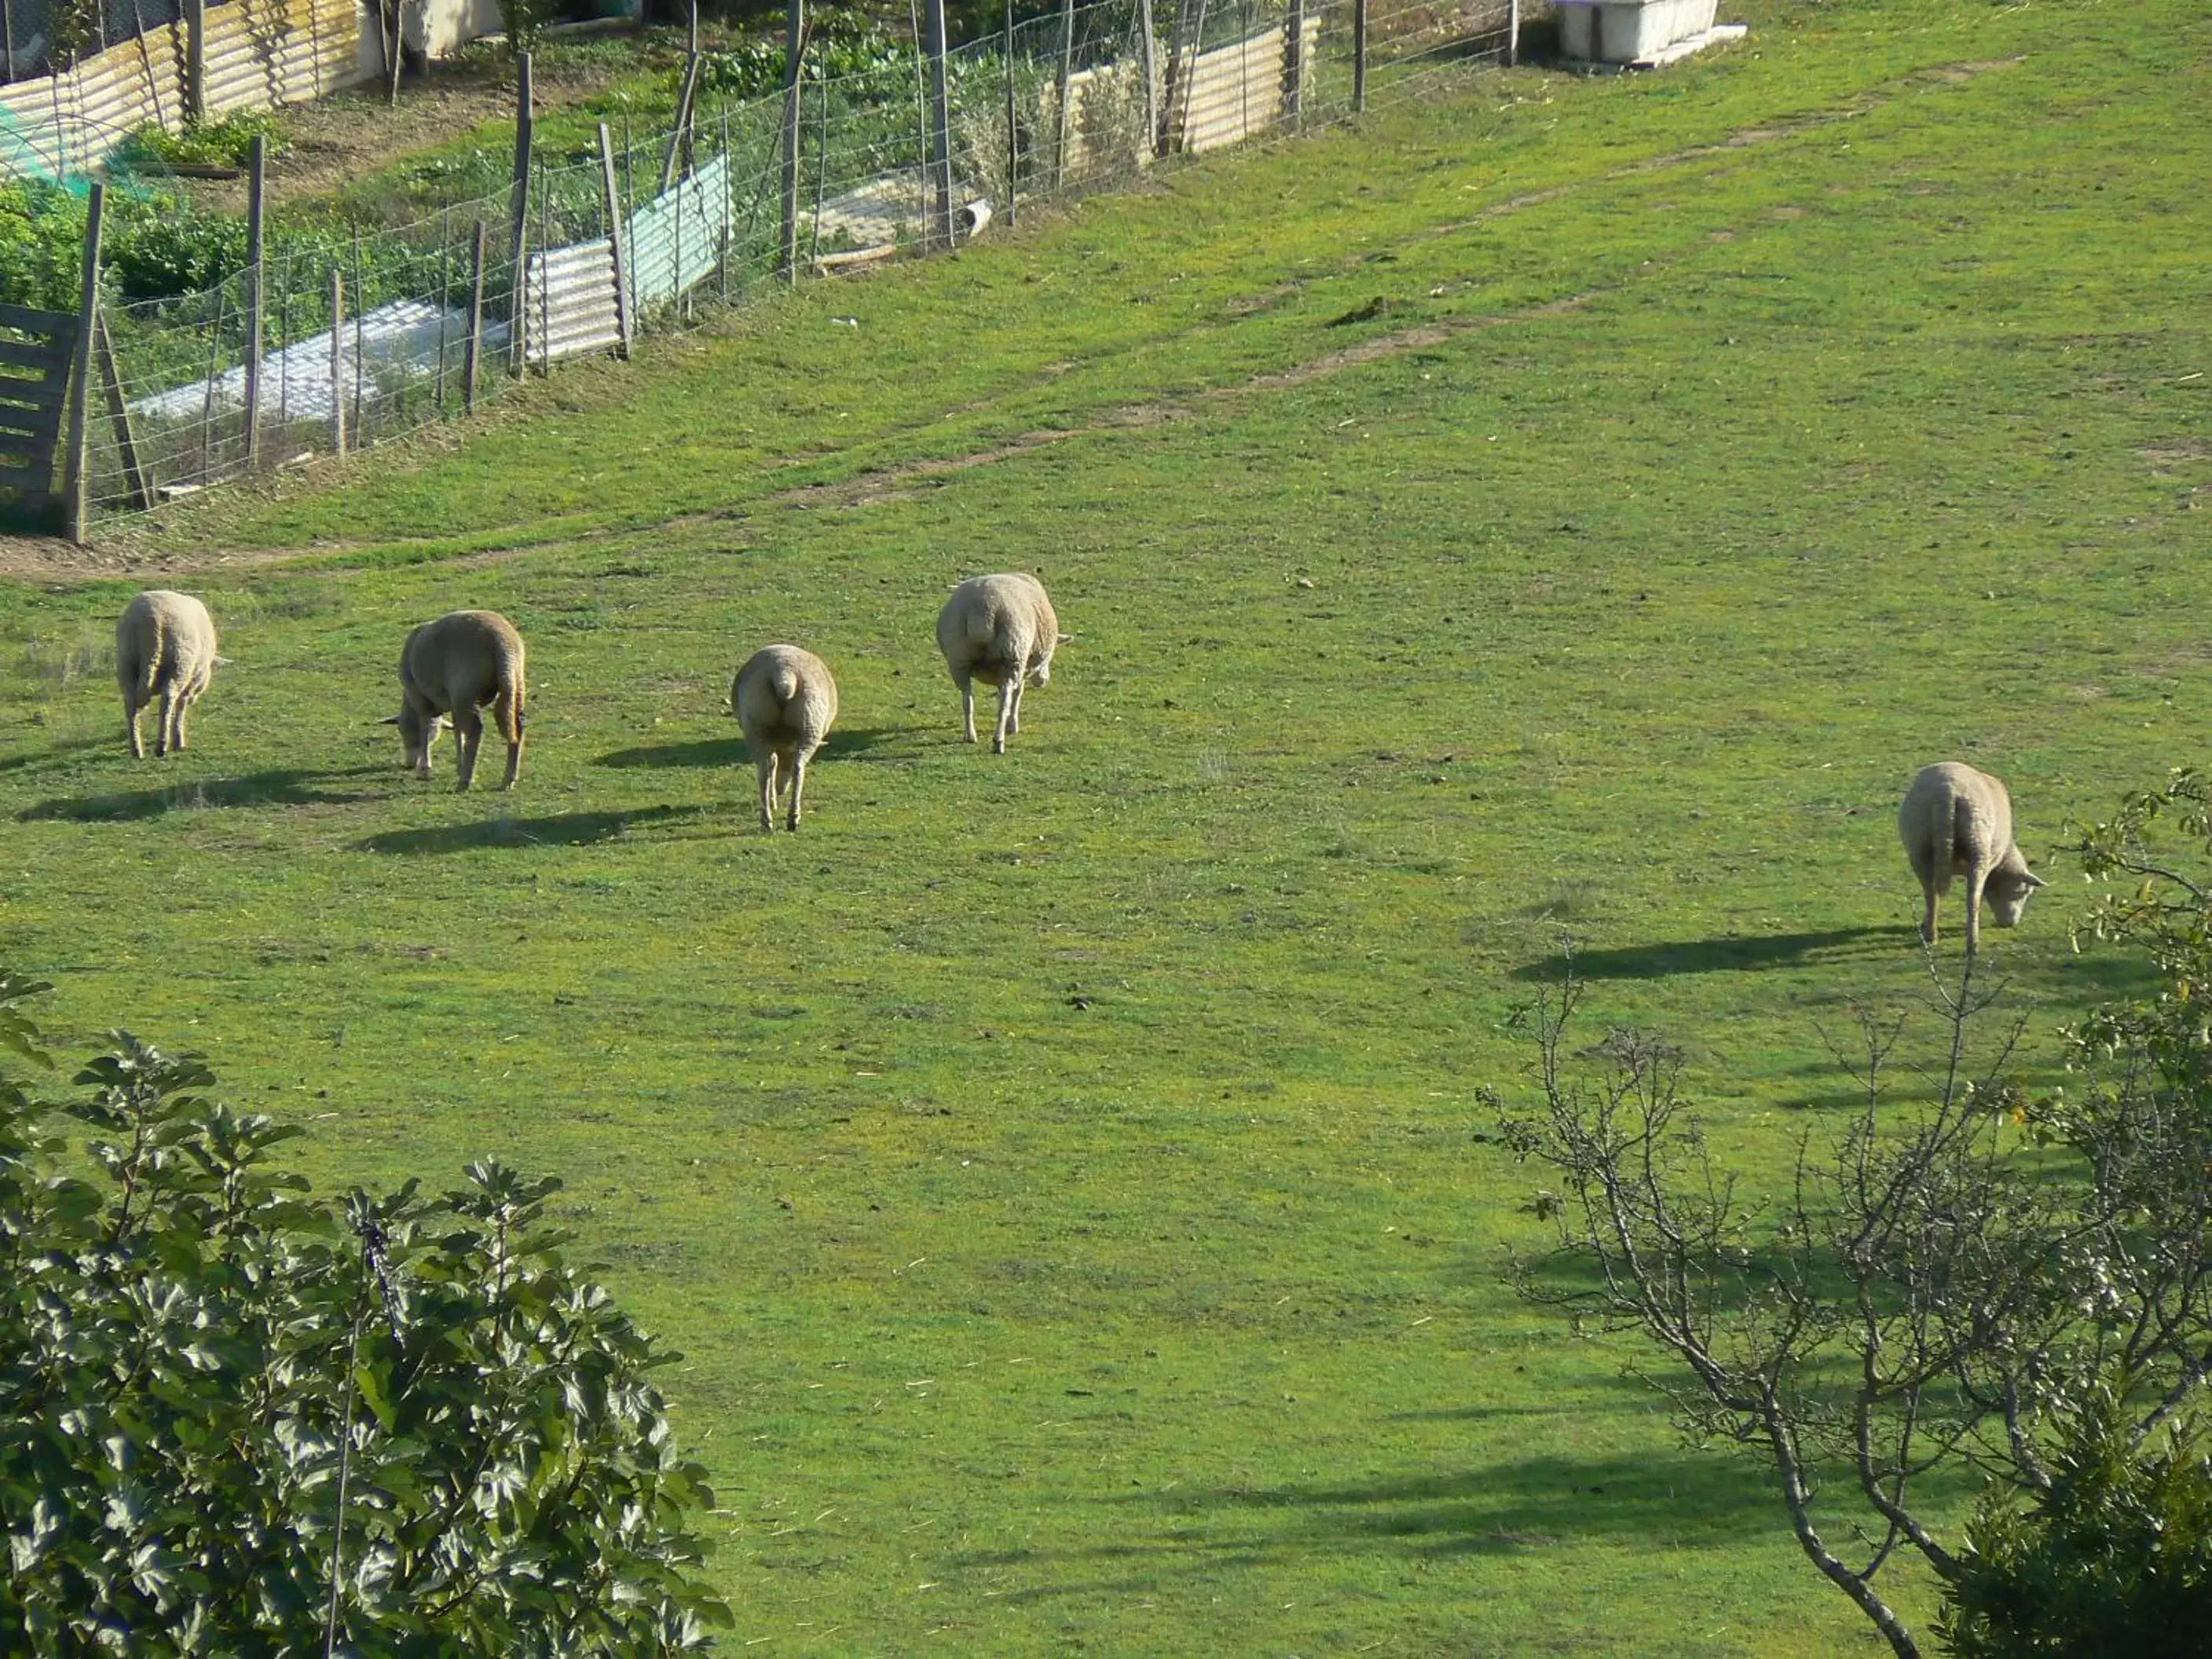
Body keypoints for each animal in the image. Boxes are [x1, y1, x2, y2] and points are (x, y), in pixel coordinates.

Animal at [116, 592, 218, 760]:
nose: (194, 700)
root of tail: (151, 622)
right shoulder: (191, 681)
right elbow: (181, 705)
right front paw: (178, 740)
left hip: (126, 664)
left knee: (130, 705)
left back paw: (136, 749)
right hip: (179, 663)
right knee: (168, 701)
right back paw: (162, 746)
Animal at [389, 610, 526, 792]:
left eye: (401, 730)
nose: (409, 764)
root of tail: (501, 642)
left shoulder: (420, 697)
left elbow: (425, 729)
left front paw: (425, 768)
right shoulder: (452, 703)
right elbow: (457, 730)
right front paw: (459, 764)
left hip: (465, 690)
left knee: (475, 730)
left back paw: (465, 781)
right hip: (515, 683)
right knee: (518, 725)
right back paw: (508, 779)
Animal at [734, 646, 836, 836]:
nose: (781, 791)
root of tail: (784, 673)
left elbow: (773, 764)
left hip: (758, 727)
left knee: (765, 772)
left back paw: (769, 820)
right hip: (809, 726)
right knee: (797, 768)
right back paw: (790, 818)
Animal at [937, 570, 1066, 752]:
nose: (1044, 681)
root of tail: (983, 608)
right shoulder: (1022, 666)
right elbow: (1018, 694)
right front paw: (1013, 726)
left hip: (958, 657)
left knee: (967, 700)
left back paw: (970, 735)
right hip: (1012, 653)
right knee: (1004, 701)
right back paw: (999, 741)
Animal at [1893, 765, 2043, 955]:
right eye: (2022, 893)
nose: (2010, 924)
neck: (2005, 856)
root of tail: (1947, 793)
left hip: (1918, 845)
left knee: (1931, 893)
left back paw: (1931, 935)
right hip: (1978, 845)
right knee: (1973, 899)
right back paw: (1973, 944)